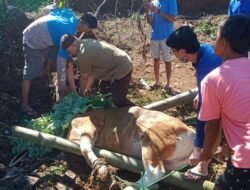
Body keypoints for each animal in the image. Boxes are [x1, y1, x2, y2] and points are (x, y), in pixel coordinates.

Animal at [67, 106, 195, 189]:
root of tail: (190, 130)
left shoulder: (88, 128)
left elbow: (85, 148)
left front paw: (103, 171)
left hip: (152, 140)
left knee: (155, 171)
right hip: (172, 162)